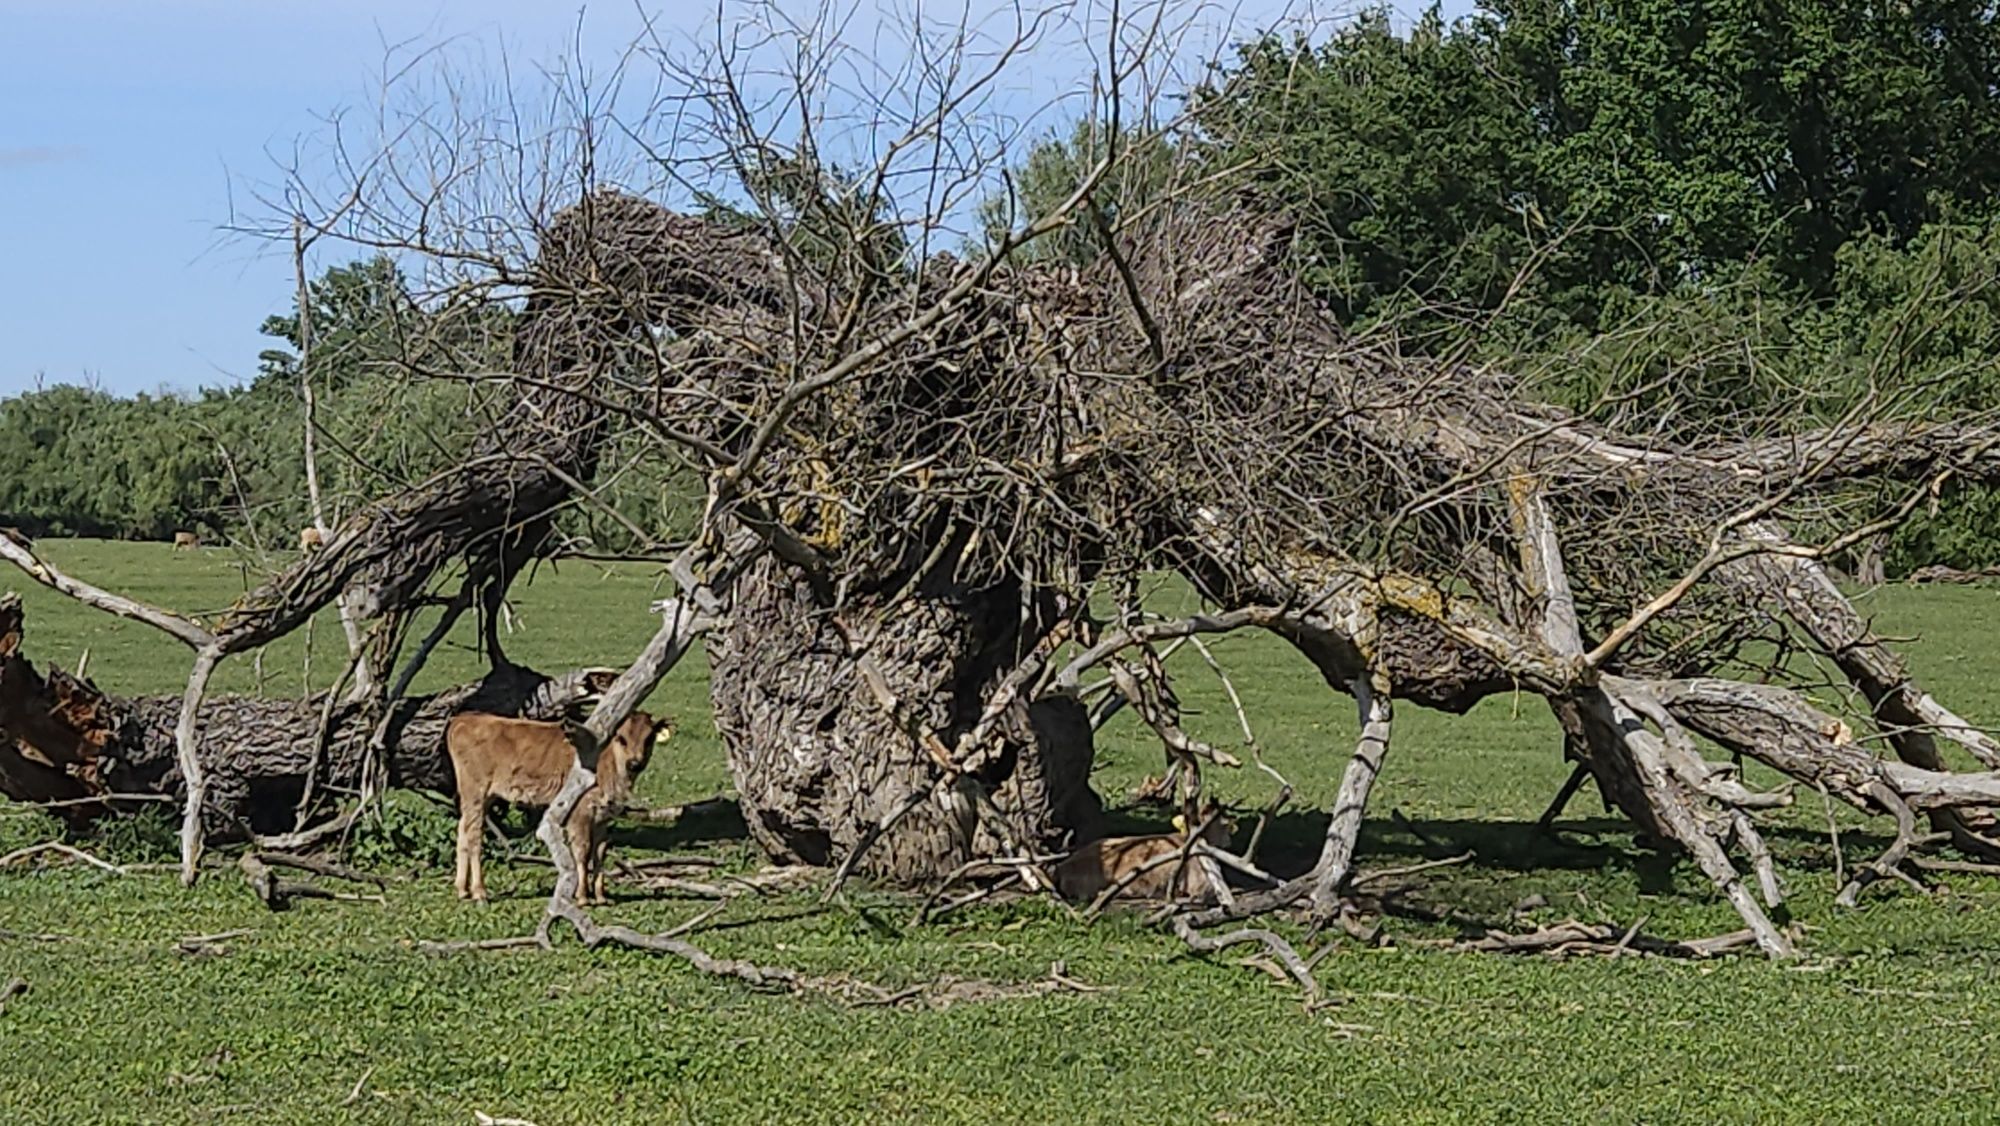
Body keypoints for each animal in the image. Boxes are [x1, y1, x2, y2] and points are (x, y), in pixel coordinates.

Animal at [446, 712, 672, 908]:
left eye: (649, 738)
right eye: (621, 738)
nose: (635, 763)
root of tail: (465, 718)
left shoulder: (602, 818)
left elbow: (599, 852)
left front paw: (600, 896)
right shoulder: (580, 812)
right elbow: (582, 851)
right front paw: (582, 896)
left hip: (482, 798)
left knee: (462, 830)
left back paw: (462, 890)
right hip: (475, 793)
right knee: (474, 835)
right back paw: (479, 891)